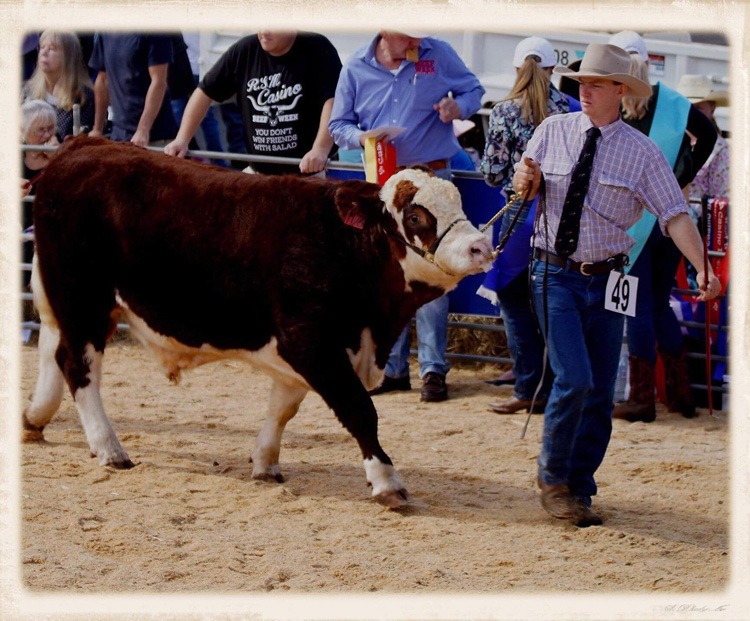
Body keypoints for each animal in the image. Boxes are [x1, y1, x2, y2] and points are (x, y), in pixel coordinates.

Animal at [23, 136, 494, 504]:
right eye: (415, 215)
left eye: (459, 201)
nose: (480, 247)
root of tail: (83, 145)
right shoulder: (310, 340)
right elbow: (360, 410)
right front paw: (386, 481)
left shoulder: (302, 348)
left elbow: (282, 408)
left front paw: (265, 462)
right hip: (82, 297)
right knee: (77, 365)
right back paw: (109, 448)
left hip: (63, 297)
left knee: (51, 349)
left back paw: (34, 419)